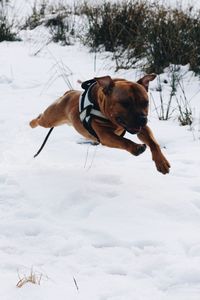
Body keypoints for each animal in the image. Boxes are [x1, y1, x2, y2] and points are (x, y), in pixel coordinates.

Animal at [29, 73, 170, 175]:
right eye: (125, 103)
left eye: (146, 102)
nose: (142, 118)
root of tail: (69, 93)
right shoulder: (105, 136)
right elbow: (124, 141)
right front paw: (136, 148)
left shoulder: (142, 129)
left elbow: (153, 143)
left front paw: (162, 162)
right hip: (50, 118)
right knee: (40, 118)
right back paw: (31, 123)